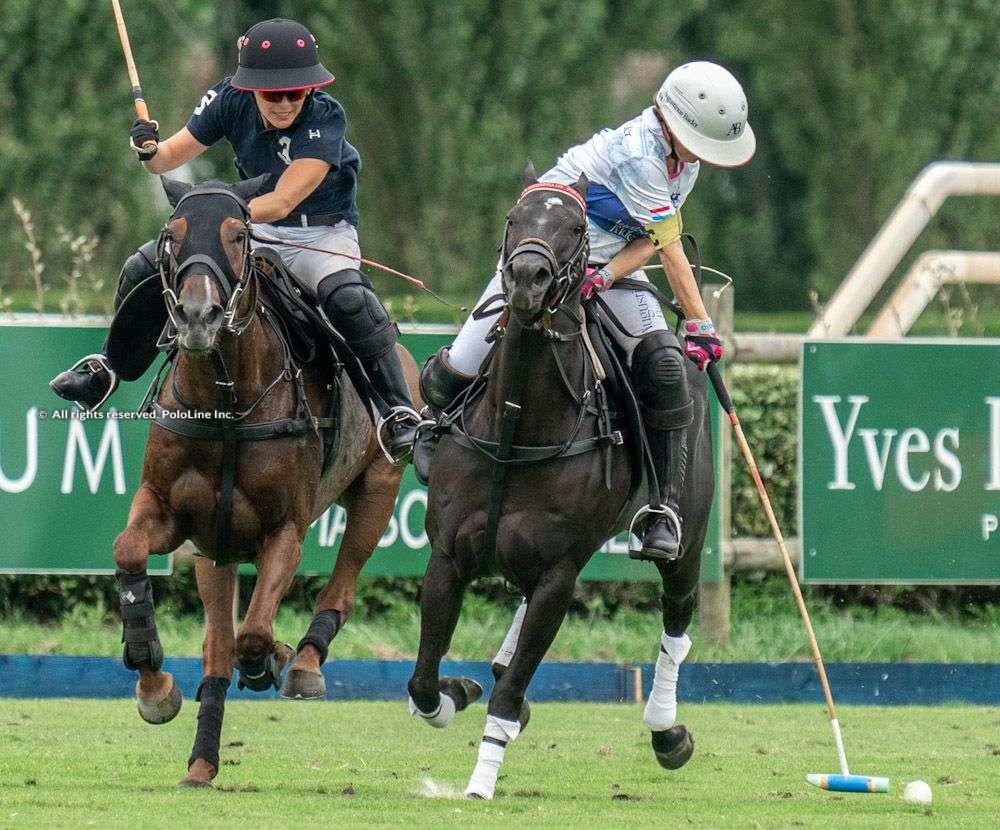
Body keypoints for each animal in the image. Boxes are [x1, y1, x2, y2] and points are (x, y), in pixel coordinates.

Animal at [113, 179, 418, 788]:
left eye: (239, 234)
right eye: (170, 236)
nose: (198, 317)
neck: (226, 405)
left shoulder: (284, 530)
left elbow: (252, 633)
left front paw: (269, 658)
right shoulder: (175, 514)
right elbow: (129, 549)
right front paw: (153, 683)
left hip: (379, 488)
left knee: (339, 586)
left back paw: (300, 664)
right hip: (217, 549)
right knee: (216, 648)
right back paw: (201, 764)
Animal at [410, 167, 716, 800]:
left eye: (577, 228)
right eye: (513, 218)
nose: (527, 279)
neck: (517, 423)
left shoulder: (558, 575)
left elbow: (506, 693)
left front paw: (481, 781)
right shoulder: (448, 557)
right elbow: (423, 681)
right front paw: (457, 693)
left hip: (689, 538)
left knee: (678, 615)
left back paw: (666, 731)